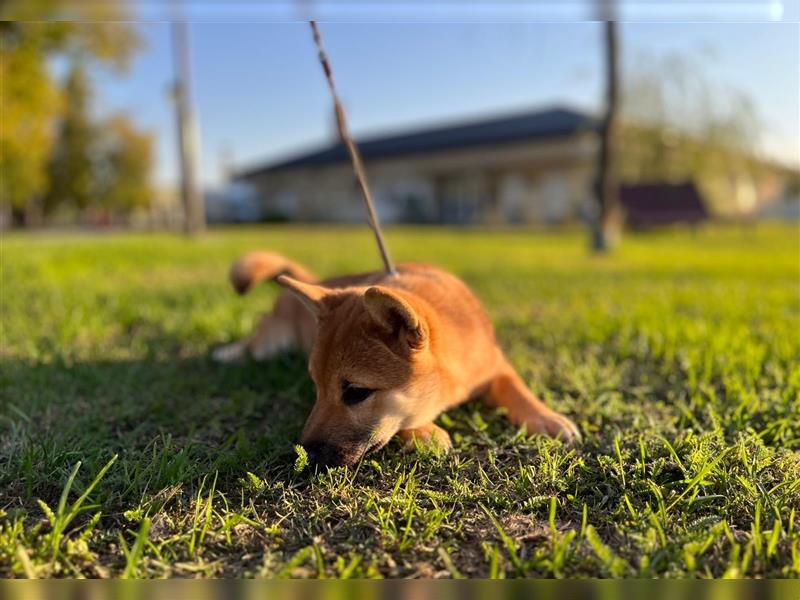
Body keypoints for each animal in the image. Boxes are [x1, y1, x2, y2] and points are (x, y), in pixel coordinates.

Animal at [214, 251, 580, 466]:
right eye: (315, 388)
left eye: (356, 392)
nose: (305, 453)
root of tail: (315, 280)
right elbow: (403, 420)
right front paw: (424, 432)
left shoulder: (495, 367)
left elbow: (517, 389)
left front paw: (546, 417)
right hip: (270, 342)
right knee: (254, 340)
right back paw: (228, 353)